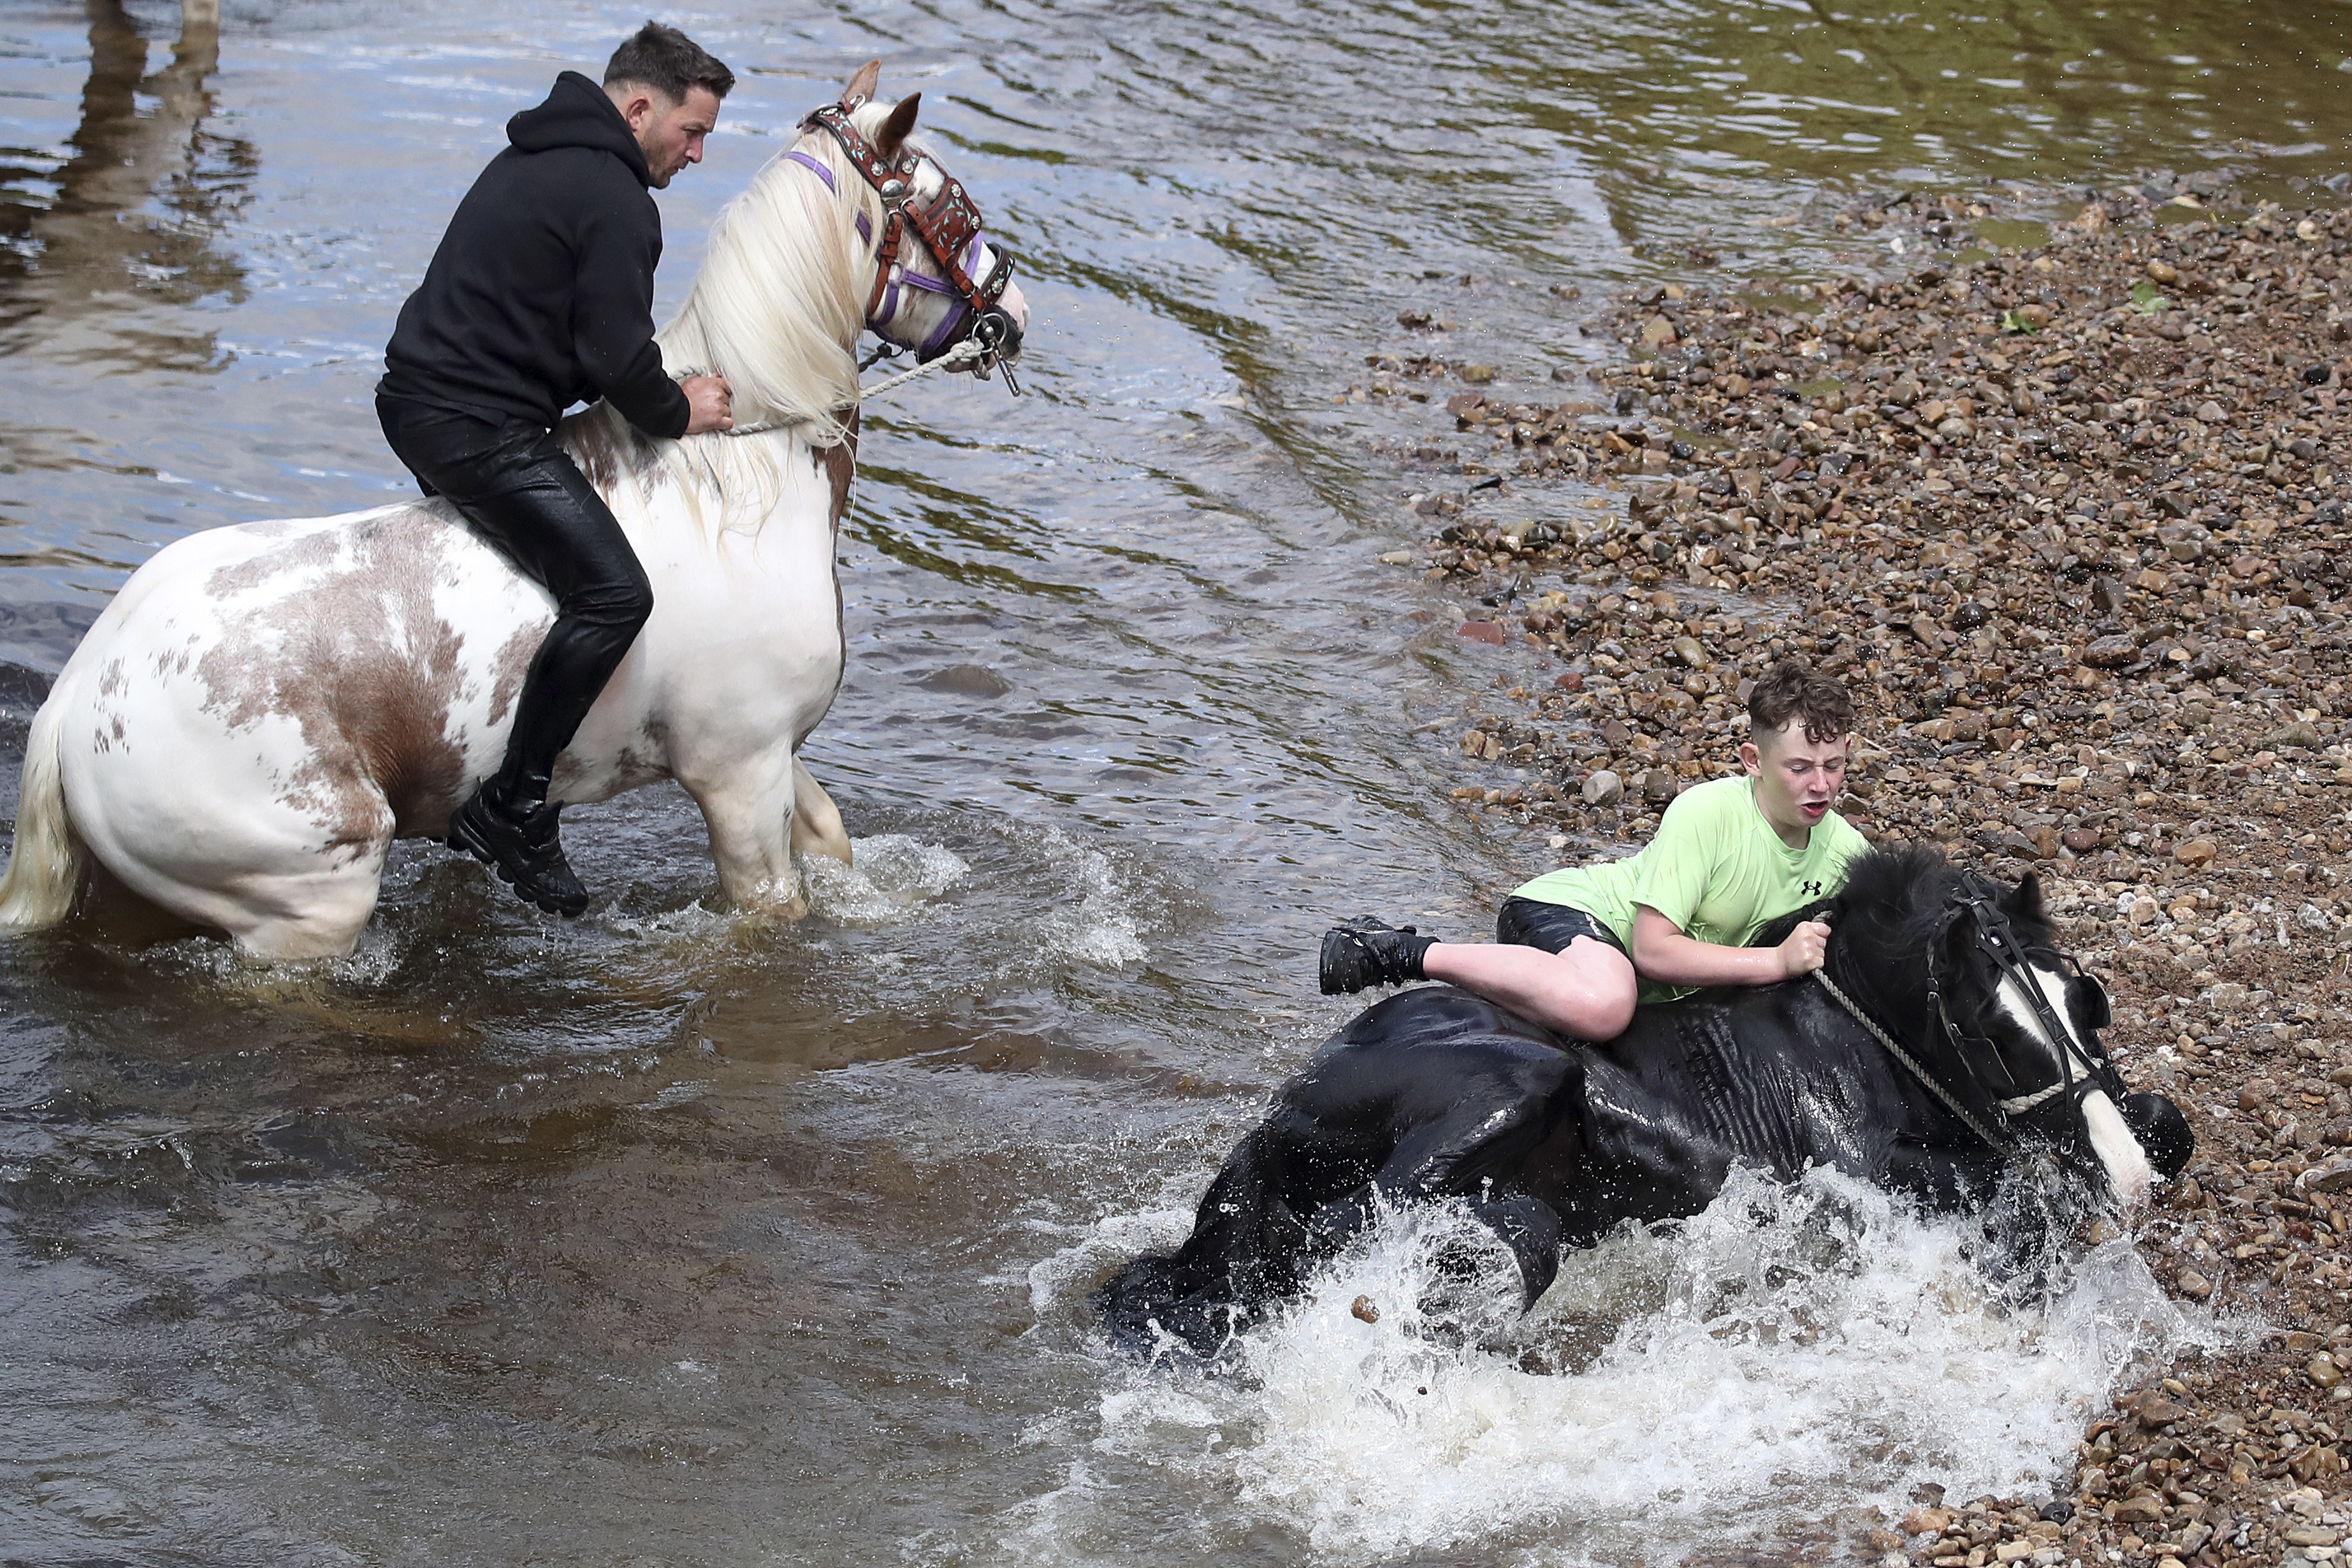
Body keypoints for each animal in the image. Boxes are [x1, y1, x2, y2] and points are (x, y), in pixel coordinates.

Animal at [2, 64, 1030, 959]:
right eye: (954, 209)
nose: (1013, 311)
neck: (738, 482)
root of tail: (76, 698)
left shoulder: (774, 755)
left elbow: (831, 837)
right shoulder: (737, 773)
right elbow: (771, 912)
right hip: (310, 899)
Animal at [1110, 851, 2192, 1354]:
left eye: (2086, 1000)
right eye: (1990, 1029)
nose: (2125, 1179)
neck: (1853, 1039)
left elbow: (2157, 1130)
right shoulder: (1843, 1170)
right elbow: (2013, 1192)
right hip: (1512, 1081)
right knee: (1348, 1221)